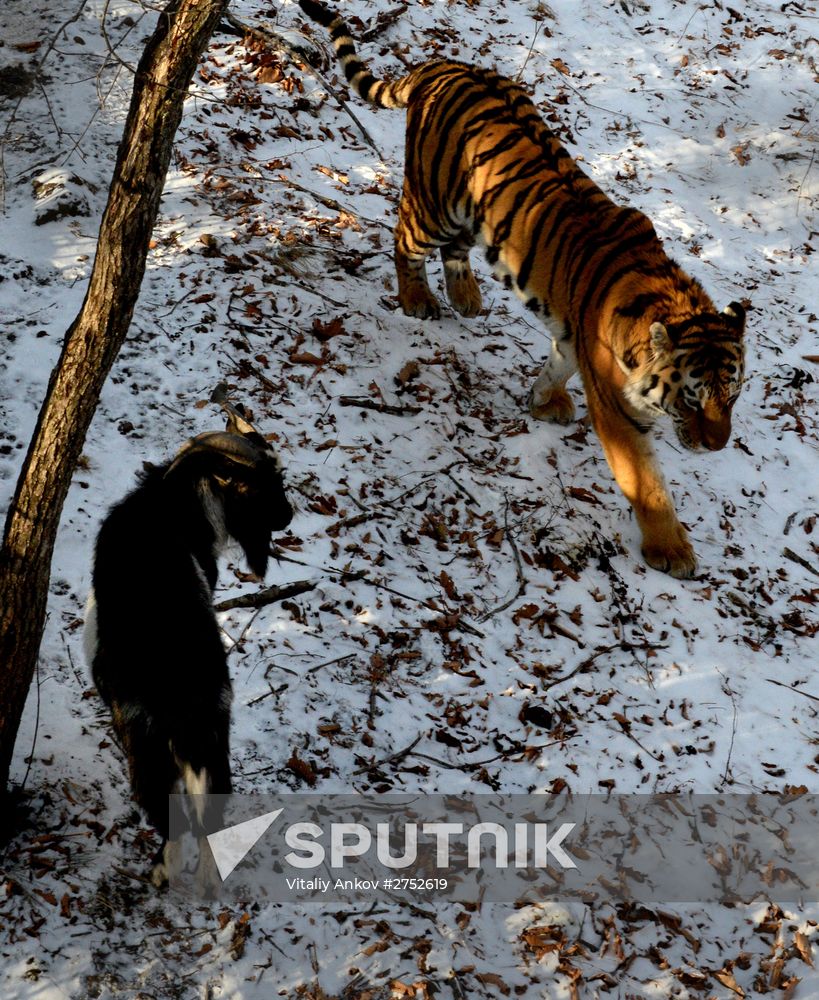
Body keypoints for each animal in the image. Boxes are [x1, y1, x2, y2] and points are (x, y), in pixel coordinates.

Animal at [84, 389, 293, 889]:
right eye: (264, 484)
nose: (290, 516)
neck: (173, 505)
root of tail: (184, 679)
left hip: (148, 743)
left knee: (172, 817)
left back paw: (163, 872)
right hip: (214, 733)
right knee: (209, 818)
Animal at [297, 0, 747, 579]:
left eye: (732, 396)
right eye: (693, 398)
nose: (716, 446)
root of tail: (446, 65)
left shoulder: (575, 334)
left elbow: (558, 361)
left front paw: (542, 400)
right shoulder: (618, 411)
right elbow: (647, 485)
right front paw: (671, 551)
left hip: (478, 215)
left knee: (455, 252)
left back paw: (466, 298)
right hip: (434, 206)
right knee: (402, 238)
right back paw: (418, 301)